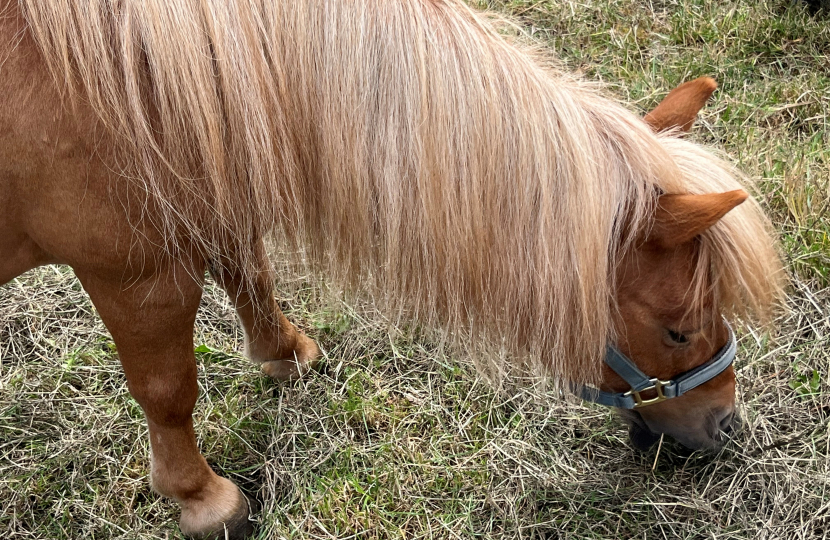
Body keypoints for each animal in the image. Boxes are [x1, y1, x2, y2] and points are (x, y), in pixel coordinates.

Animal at [0, 1, 784, 540]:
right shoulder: (133, 269)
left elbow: (250, 271)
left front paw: (285, 353)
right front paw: (203, 500)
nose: (725, 425)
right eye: (679, 331)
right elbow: (168, 389)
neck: (137, 72)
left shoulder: (210, 188)